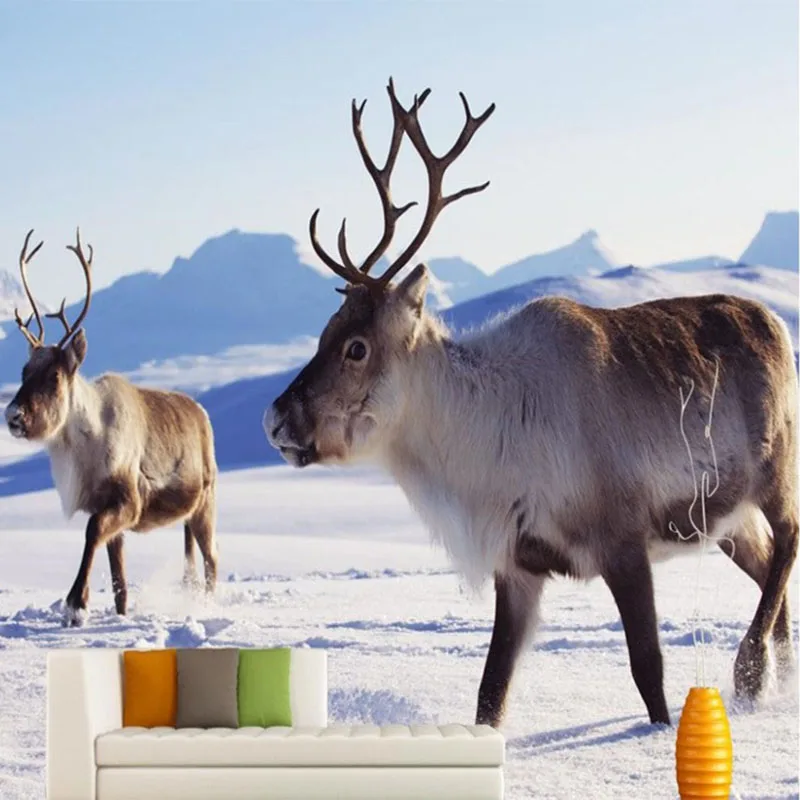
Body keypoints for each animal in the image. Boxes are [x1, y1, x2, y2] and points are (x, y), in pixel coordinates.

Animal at [4, 229, 219, 627]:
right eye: (23, 371)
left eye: (55, 375)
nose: (13, 415)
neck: (85, 445)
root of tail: (201, 413)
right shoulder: (104, 507)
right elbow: (119, 579)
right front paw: (115, 614)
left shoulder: (128, 501)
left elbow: (91, 534)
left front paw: (76, 604)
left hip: (205, 502)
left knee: (212, 559)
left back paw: (207, 608)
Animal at [264, 78, 798, 729]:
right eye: (323, 333)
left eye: (356, 347)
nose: (275, 417)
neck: (484, 445)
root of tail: (775, 321)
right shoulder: (518, 566)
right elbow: (490, 692)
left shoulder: (621, 540)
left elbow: (648, 672)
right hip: (724, 520)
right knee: (768, 564)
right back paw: (778, 674)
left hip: (774, 470)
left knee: (789, 540)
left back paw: (750, 670)